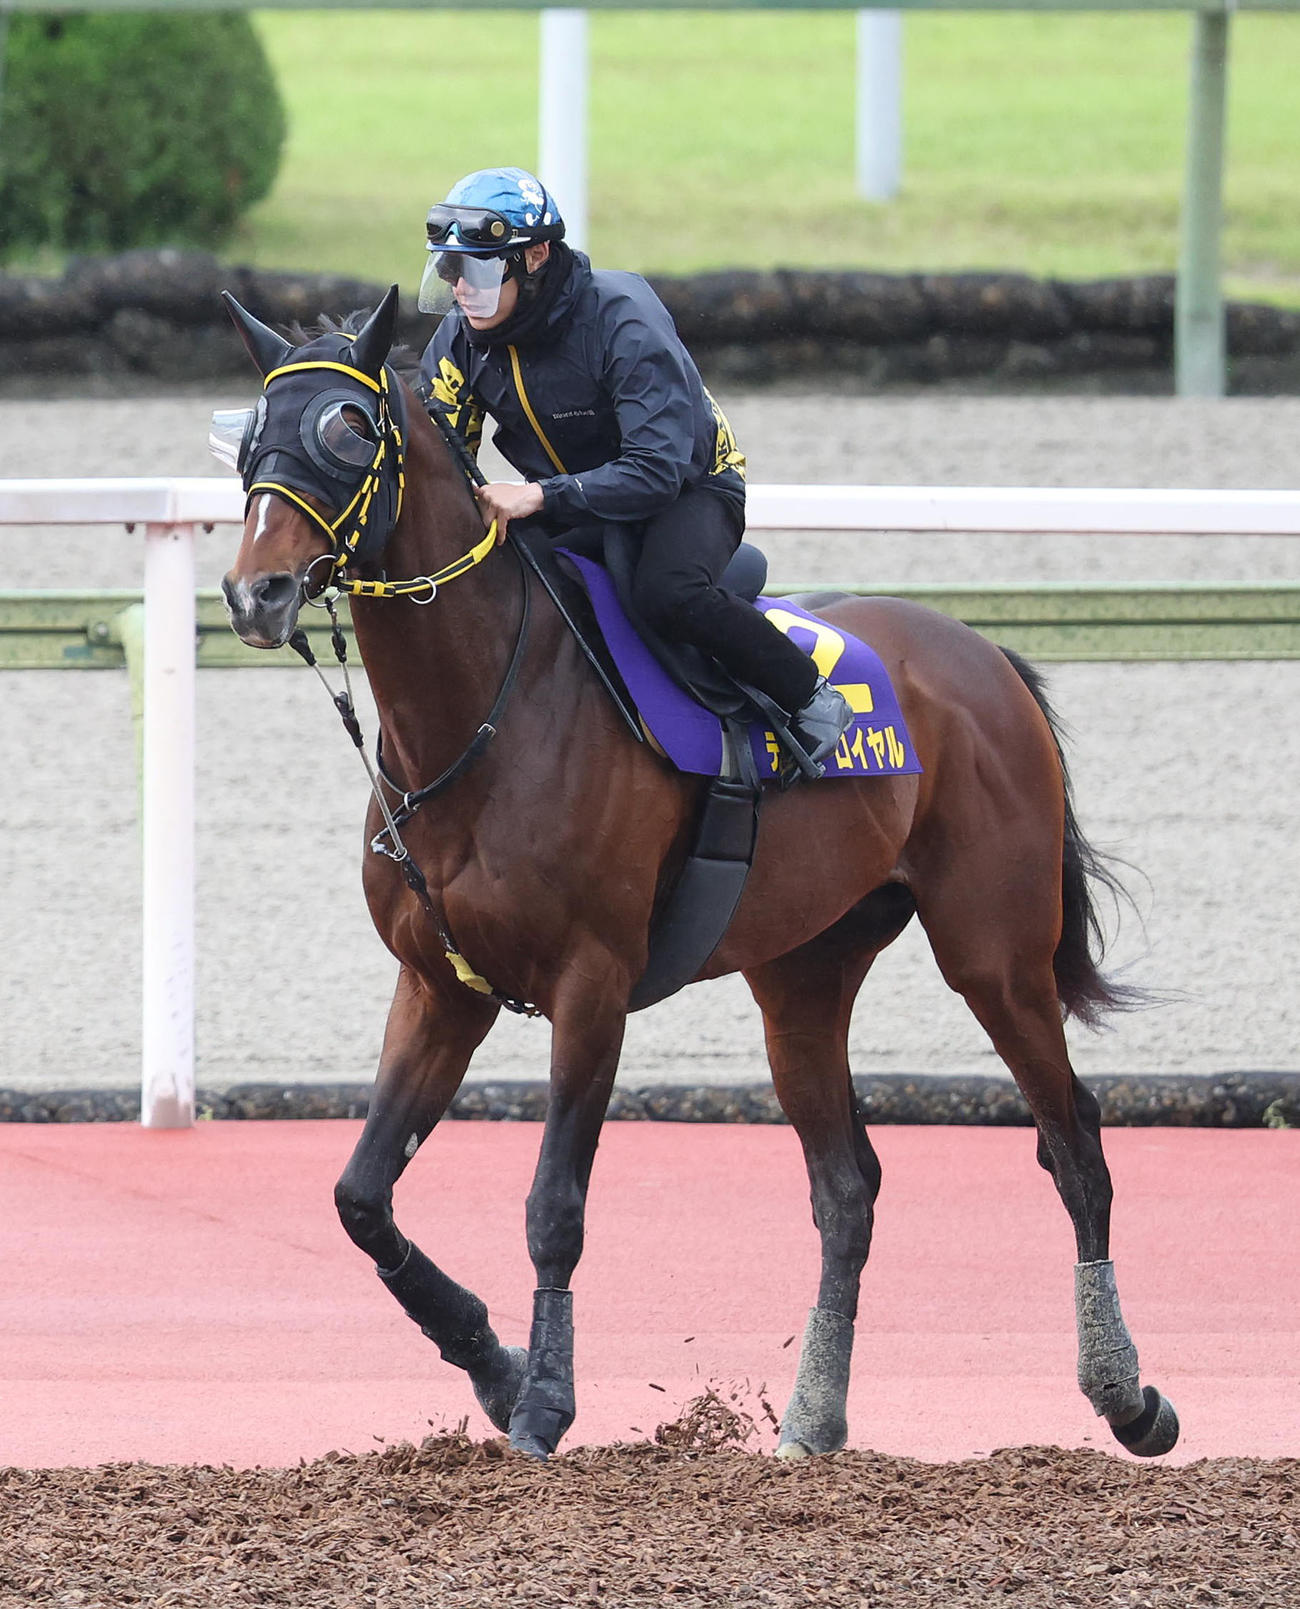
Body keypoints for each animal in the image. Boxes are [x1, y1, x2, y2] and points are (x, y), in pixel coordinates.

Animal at [218, 286, 1178, 1463]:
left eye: (348, 433)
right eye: (249, 437)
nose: (255, 592)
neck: (486, 710)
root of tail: (985, 655)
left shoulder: (591, 984)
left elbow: (554, 1206)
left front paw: (544, 1399)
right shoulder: (439, 983)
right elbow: (360, 1195)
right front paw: (494, 1367)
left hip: (995, 950)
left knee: (1074, 1143)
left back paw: (1127, 1394)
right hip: (803, 974)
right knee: (847, 1187)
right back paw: (813, 1415)